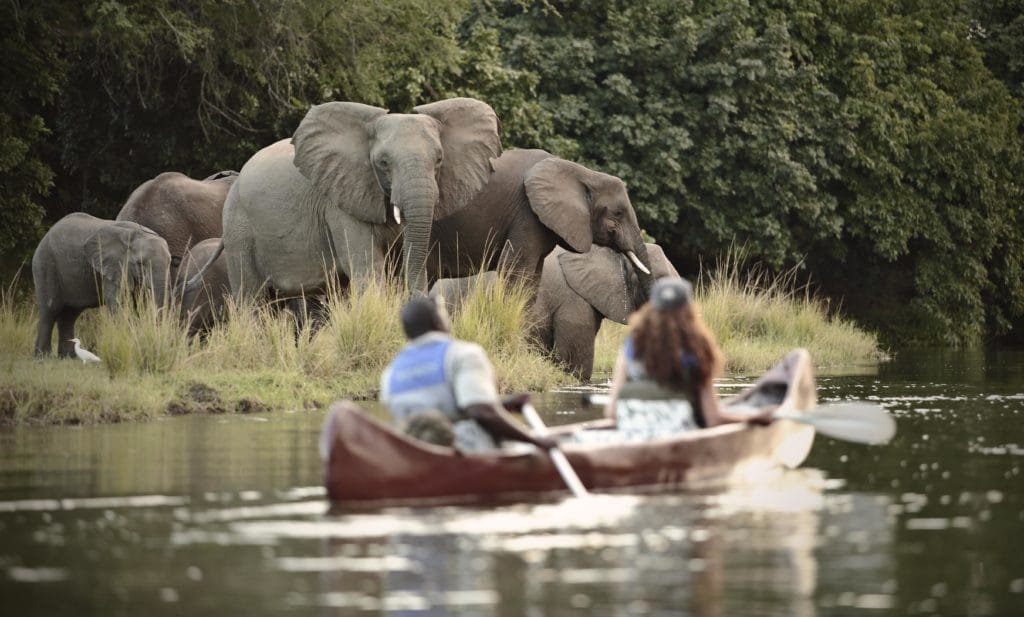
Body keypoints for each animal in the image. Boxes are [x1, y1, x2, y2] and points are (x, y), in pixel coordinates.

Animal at [32, 212, 172, 358]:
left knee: (70, 314)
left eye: (170, 262)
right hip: (46, 265)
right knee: (50, 309)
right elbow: (117, 301)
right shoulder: (112, 264)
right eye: (140, 263)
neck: (136, 234)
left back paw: (68, 357)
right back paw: (42, 356)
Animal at [214, 94, 501, 304]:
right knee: (251, 299)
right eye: (383, 162)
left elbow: (395, 269)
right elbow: (369, 270)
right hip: (238, 227)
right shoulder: (340, 201)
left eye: (439, 159)